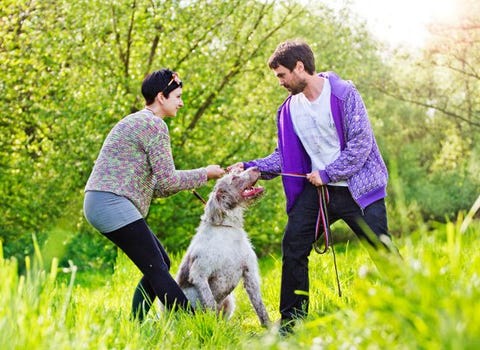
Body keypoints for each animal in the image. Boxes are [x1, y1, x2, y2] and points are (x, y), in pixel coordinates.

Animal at [175, 167, 270, 326]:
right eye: (234, 178)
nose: (256, 168)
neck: (227, 229)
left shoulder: (249, 273)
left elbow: (260, 307)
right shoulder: (199, 274)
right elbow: (210, 304)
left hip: (229, 301)